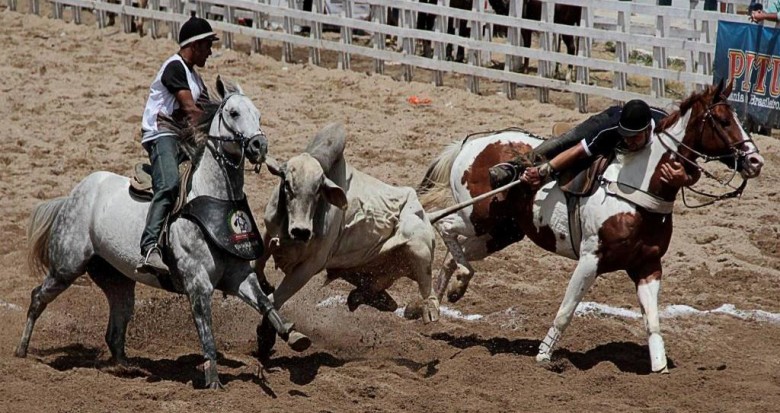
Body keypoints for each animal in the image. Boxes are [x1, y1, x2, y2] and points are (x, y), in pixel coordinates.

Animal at [16, 77, 310, 390]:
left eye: (259, 115)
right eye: (233, 113)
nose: (259, 145)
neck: (211, 198)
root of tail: (74, 194)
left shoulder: (239, 274)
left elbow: (266, 302)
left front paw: (294, 335)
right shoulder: (198, 284)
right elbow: (207, 333)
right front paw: (213, 382)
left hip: (117, 280)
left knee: (115, 328)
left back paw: (126, 368)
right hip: (67, 266)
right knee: (37, 298)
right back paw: (21, 351)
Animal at [420, 81, 760, 374]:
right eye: (723, 121)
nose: (755, 161)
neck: (637, 187)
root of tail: (470, 143)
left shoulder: (648, 266)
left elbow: (652, 321)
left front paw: (660, 368)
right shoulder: (590, 260)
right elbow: (566, 310)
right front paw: (544, 355)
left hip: (501, 232)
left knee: (453, 255)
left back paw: (437, 303)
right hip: (476, 216)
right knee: (444, 224)